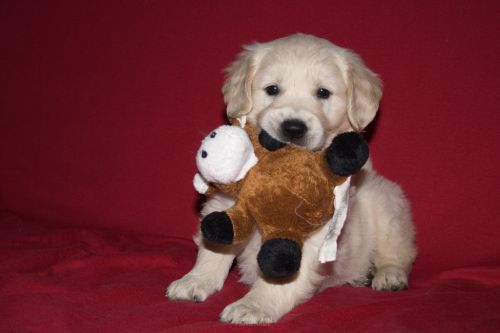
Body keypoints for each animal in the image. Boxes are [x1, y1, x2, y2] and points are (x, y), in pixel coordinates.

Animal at [168, 34, 418, 324]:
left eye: (323, 93)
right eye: (272, 89)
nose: (294, 128)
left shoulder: (313, 232)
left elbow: (281, 272)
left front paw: (254, 305)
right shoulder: (224, 202)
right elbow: (214, 249)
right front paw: (195, 281)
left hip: (389, 211)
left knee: (399, 253)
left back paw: (388, 275)